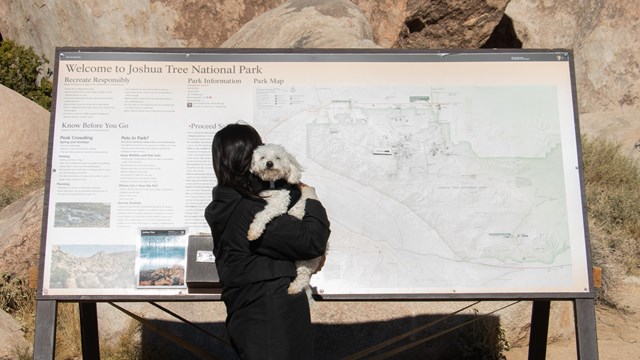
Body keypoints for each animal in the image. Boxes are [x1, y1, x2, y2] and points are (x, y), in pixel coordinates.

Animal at [246, 142, 324, 296]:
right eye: (263, 157)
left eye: (277, 158)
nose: (269, 163)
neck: (273, 185)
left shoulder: (280, 202)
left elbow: (263, 214)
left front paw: (254, 231)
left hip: (305, 260)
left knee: (303, 277)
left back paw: (293, 288)